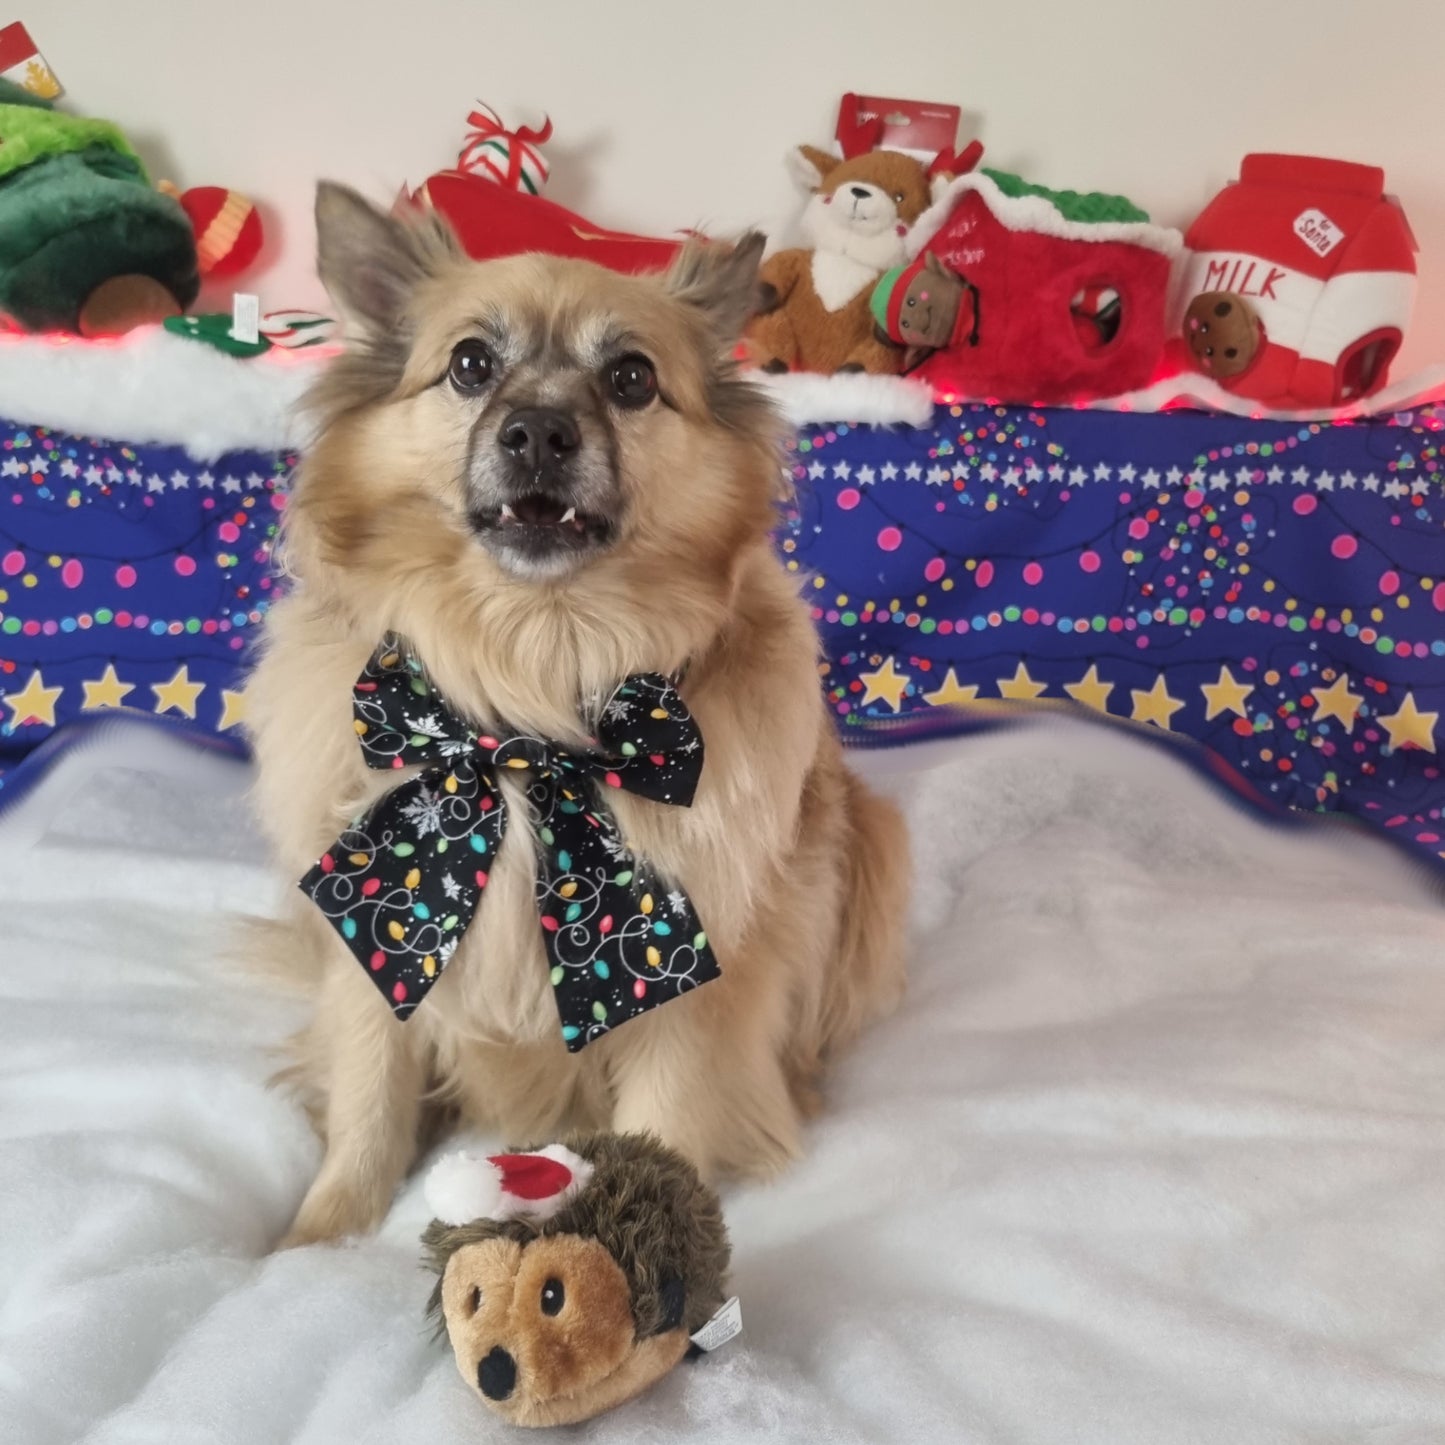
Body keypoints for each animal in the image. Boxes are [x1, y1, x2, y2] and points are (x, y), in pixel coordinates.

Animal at [245, 180, 901, 1242]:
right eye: (470, 363)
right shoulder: (370, 947)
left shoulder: (697, 972)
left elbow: (667, 1115)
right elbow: (369, 1093)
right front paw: (320, 1238)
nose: (541, 433)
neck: (531, 696)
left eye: (631, 378)